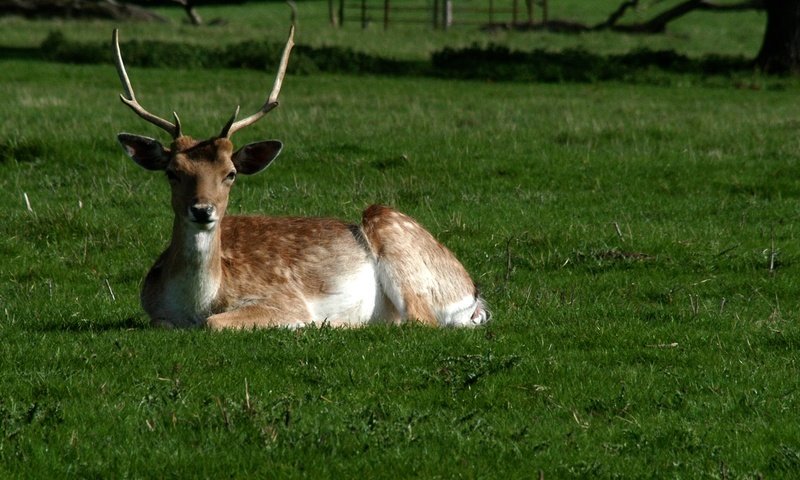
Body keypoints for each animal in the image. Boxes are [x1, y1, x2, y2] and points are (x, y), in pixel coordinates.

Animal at [111, 27, 488, 330]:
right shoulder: (155, 314)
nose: (203, 210)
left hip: (393, 234)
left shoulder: (284, 298)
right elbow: (162, 323)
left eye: (230, 174)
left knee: (419, 320)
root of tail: (474, 294)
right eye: (172, 173)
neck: (196, 304)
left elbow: (215, 323)